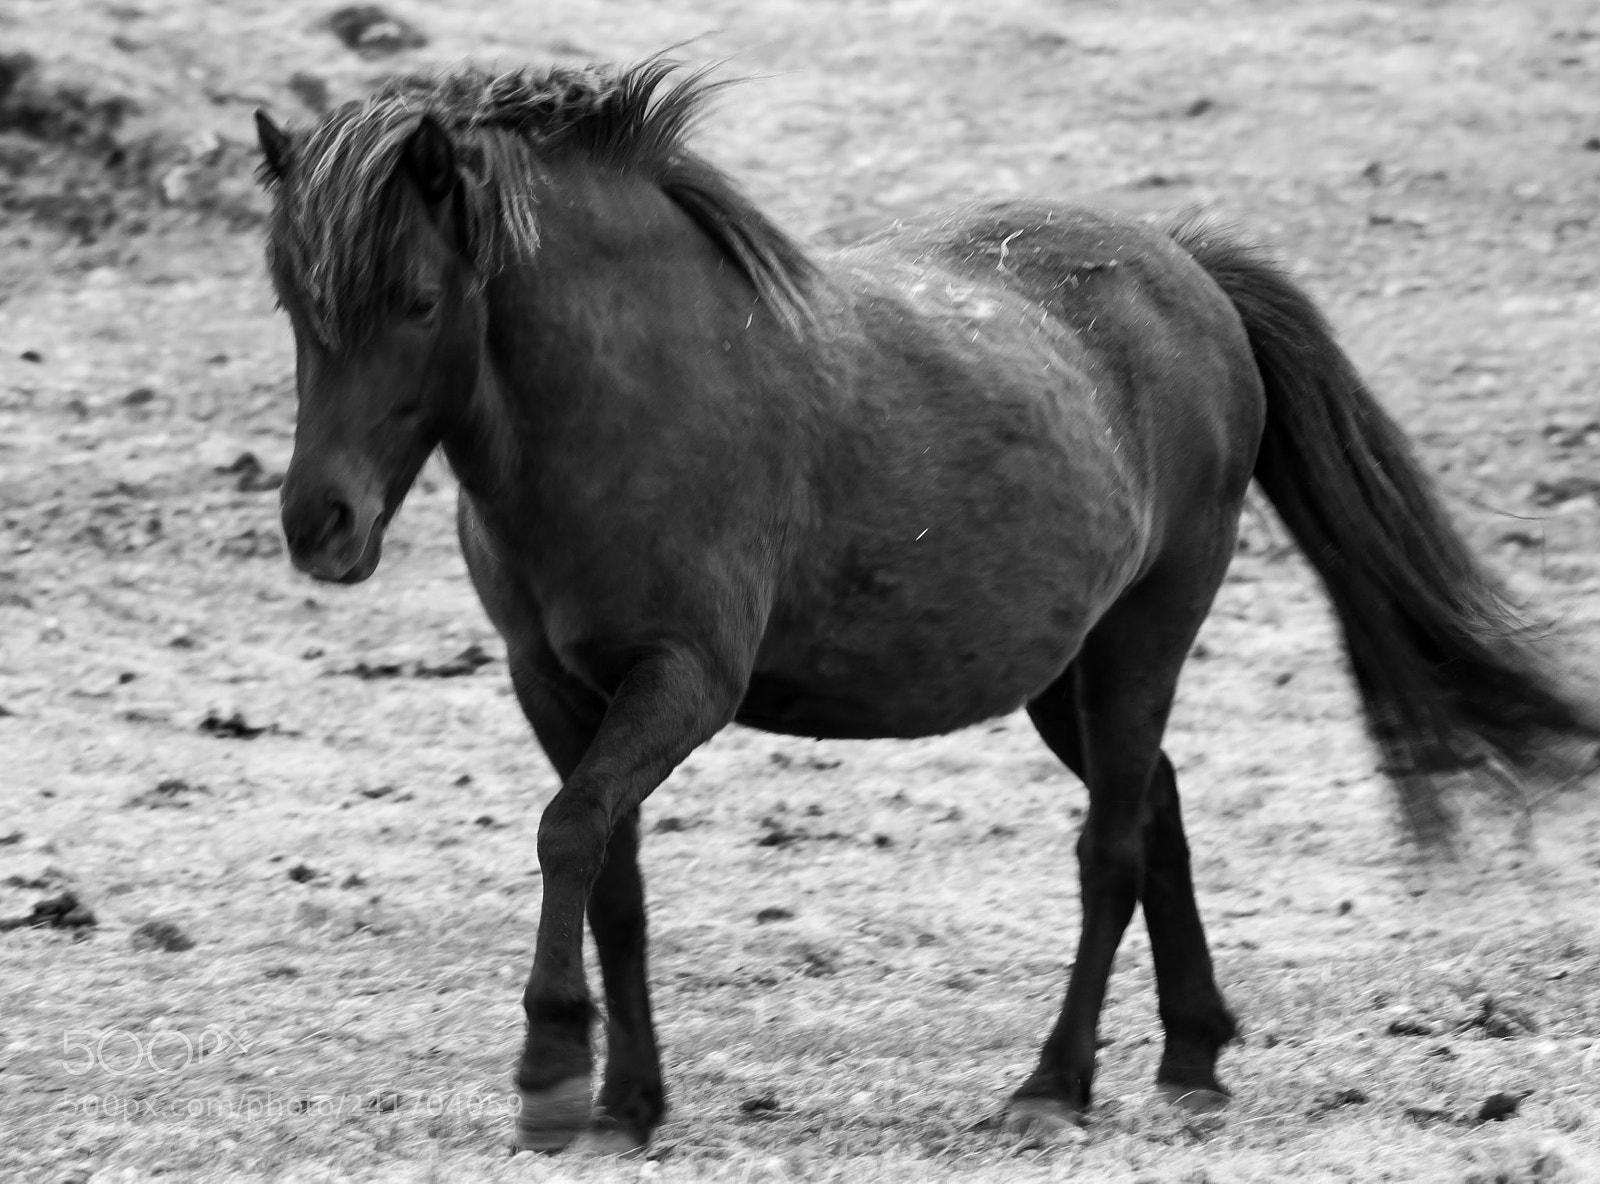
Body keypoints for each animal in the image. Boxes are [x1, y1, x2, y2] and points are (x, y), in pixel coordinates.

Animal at [252, 58, 1599, 1154]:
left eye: (418, 301)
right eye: (294, 306)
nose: (321, 524)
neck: (633, 396)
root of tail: (1190, 271)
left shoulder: (683, 679)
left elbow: (571, 831)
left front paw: (550, 1075)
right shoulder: (553, 682)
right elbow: (611, 872)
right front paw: (627, 1101)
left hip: (1143, 639)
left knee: (1111, 849)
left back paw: (1053, 1086)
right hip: (1067, 676)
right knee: (1157, 810)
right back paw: (1191, 1058)